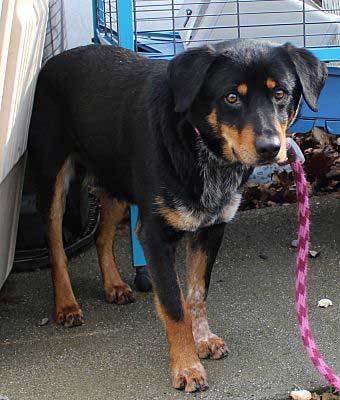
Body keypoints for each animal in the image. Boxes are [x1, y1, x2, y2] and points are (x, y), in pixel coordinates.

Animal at [27, 39, 326, 390]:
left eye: (280, 93)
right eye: (232, 97)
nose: (270, 147)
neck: (200, 146)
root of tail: (56, 59)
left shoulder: (212, 229)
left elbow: (196, 294)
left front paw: (203, 339)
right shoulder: (154, 236)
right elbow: (174, 305)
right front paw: (187, 367)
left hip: (117, 180)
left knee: (102, 236)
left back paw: (113, 285)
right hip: (53, 179)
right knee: (56, 248)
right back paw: (66, 304)